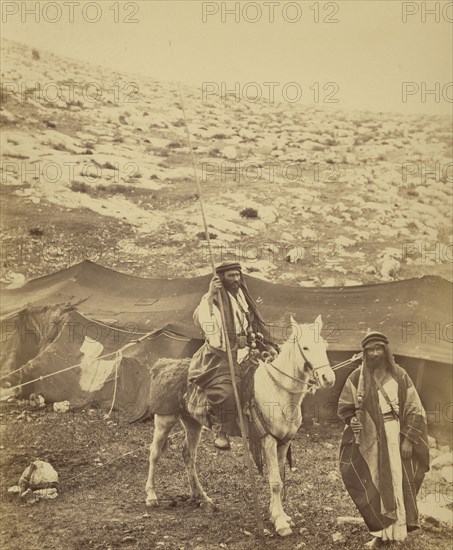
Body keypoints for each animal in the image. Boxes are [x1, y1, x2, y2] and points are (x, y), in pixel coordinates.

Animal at [146, 316, 336, 536]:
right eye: (305, 347)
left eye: (324, 345)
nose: (328, 379)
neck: (278, 390)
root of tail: (162, 364)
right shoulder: (268, 441)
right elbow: (275, 482)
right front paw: (280, 522)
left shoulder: (284, 442)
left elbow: (279, 478)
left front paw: (278, 514)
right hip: (165, 419)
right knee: (155, 454)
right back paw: (151, 496)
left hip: (192, 423)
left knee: (188, 456)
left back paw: (200, 496)